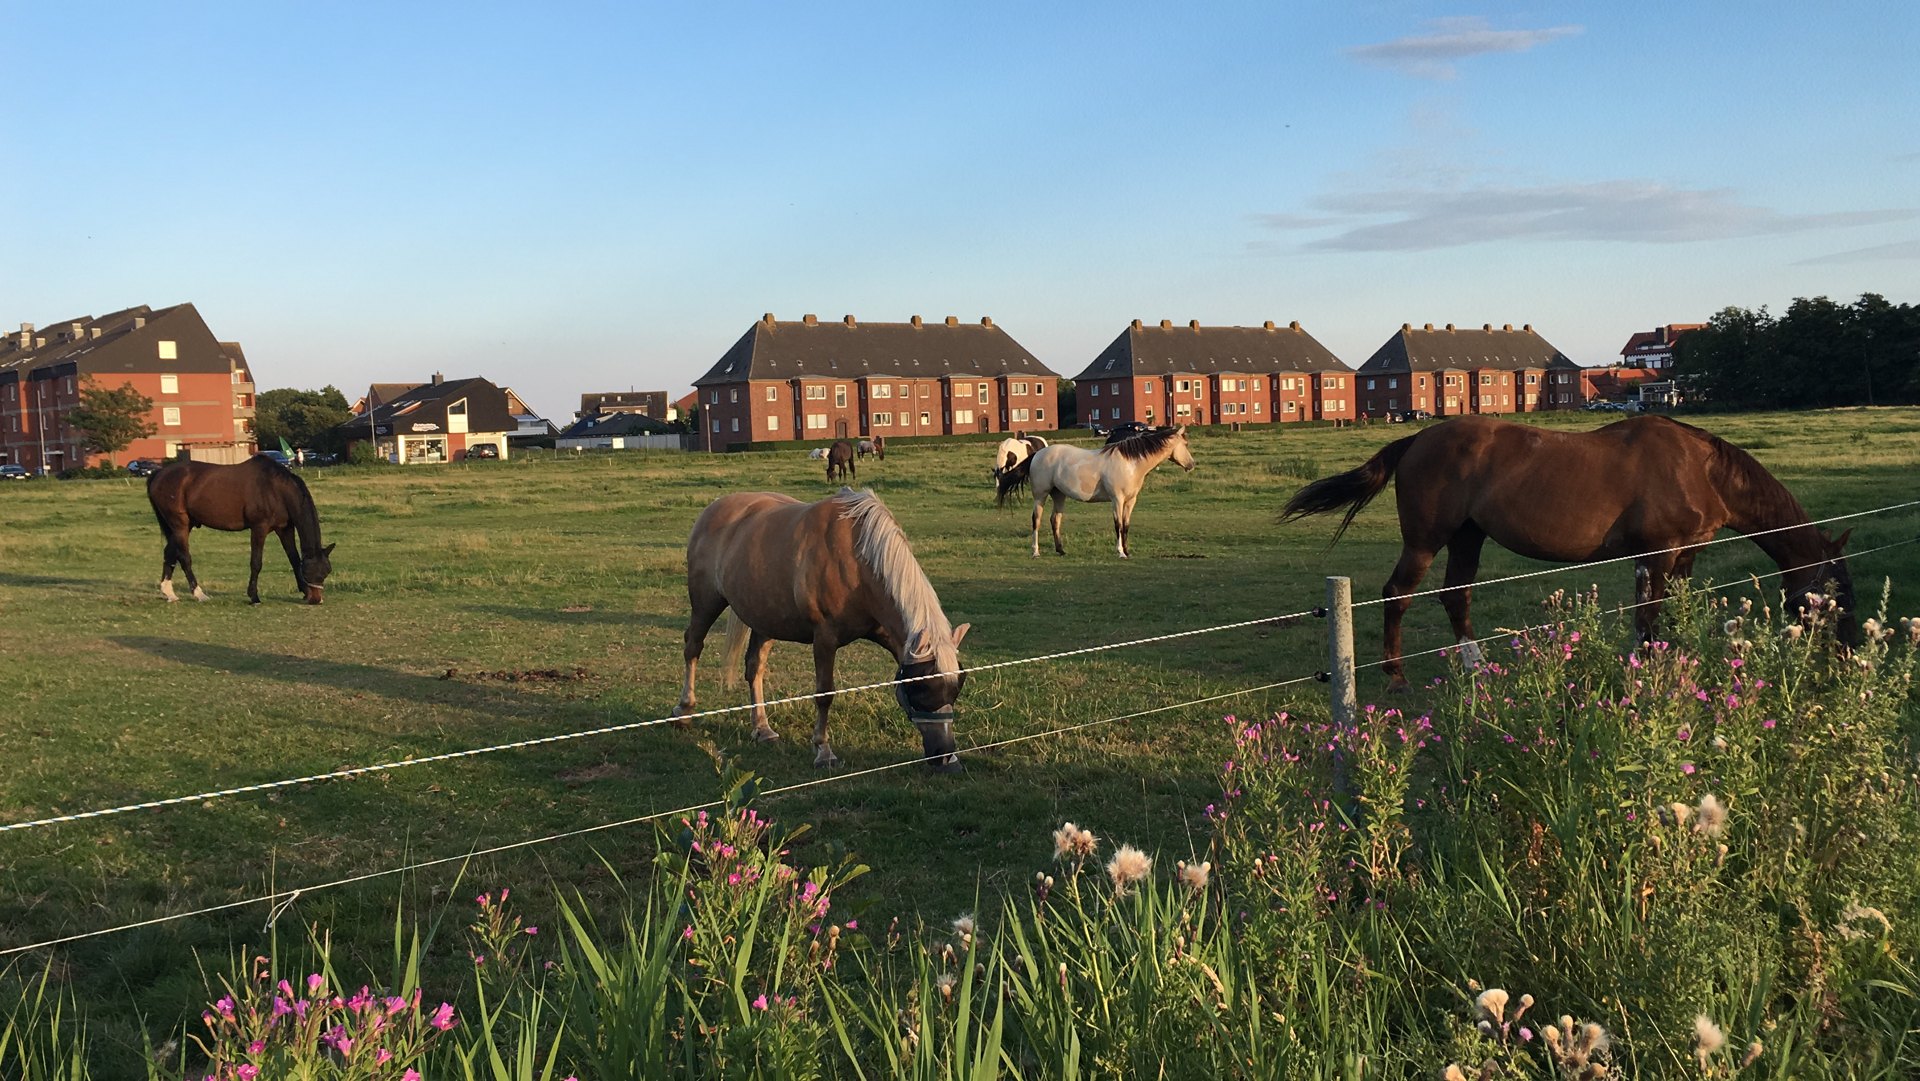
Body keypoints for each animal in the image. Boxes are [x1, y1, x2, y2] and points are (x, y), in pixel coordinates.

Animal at [146, 456, 335, 605]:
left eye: (326, 571)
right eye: (310, 571)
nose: (316, 599)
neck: (275, 489)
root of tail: (159, 474)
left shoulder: (285, 529)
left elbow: (294, 559)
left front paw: (304, 592)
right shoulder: (259, 528)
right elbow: (256, 563)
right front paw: (254, 597)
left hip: (181, 526)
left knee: (170, 553)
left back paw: (169, 593)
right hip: (180, 525)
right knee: (184, 558)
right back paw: (199, 594)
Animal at [674, 488, 972, 770]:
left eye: (955, 689)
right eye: (919, 690)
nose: (945, 756)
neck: (858, 561)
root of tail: (715, 507)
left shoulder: (885, 632)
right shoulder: (825, 638)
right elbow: (824, 694)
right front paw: (823, 751)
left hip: (764, 618)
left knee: (754, 667)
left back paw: (762, 728)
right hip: (706, 603)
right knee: (693, 647)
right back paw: (684, 710)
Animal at [997, 425, 1195, 558]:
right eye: (1185, 444)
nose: (1192, 464)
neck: (1129, 463)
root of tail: (1037, 454)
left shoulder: (1130, 501)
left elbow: (1126, 525)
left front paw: (1127, 551)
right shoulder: (1117, 499)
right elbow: (1118, 525)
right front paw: (1120, 552)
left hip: (1059, 494)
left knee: (1055, 520)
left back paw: (1061, 550)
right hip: (1041, 495)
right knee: (1036, 520)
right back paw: (1035, 552)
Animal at [1279, 415, 1857, 690]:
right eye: (1835, 594)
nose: (1848, 656)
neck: (1700, 469)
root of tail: (1419, 438)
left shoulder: (1684, 555)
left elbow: (1671, 614)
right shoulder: (1657, 555)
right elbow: (1647, 619)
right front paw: (1645, 672)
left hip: (1469, 536)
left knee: (1456, 595)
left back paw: (1478, 668)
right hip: (1426, 540)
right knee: (1398, 595)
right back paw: (1397, 675)